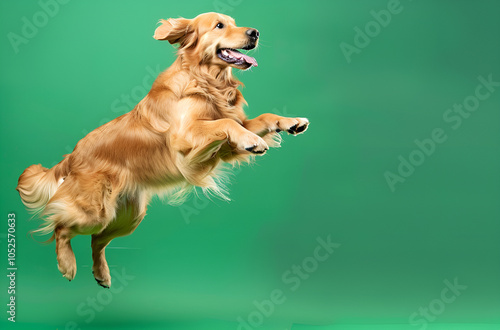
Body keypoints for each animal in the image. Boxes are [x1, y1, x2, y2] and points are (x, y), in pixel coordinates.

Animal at [15, 11, 308, 288]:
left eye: (234, 22)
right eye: (219, 25)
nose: (255, 32)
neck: (206, 79)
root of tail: (72, 156)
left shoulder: (226, 146)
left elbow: (258, 119)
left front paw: (291, 122)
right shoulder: (185, 137)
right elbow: (225, 123)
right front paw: (254, 141)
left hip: (129, 216)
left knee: (96, 240)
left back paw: (102, 275)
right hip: (94, 212)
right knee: (61, 227)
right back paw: (67, 265)